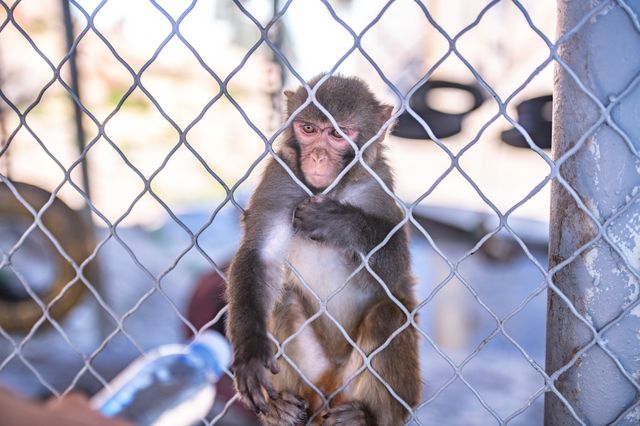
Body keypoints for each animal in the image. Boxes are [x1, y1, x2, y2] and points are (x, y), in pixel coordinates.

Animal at [226, 75, 420, 424]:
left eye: (338, 134)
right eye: (309, 129)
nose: (317, 156)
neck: (330, 189)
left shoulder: (377, 186)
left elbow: (396, 265)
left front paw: (339, 222)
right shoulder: (281, 178)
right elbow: (259, 257)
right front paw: (250, 352)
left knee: (387, 315)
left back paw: (366, 417)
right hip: (311, 374)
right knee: (283, 301)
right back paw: (280, 409)